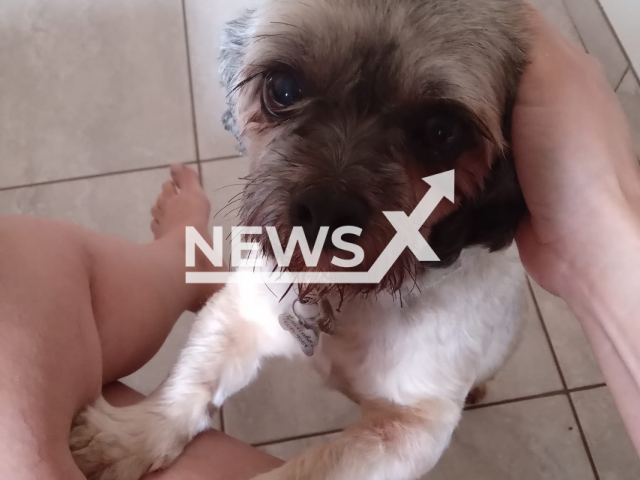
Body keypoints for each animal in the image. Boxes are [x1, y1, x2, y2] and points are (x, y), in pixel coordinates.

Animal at [69, 0, 528, 480]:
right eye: (283, 88)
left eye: (442, 132)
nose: (326, 211)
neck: (348, 293)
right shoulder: (240, 314)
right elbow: (192, 379)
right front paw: (128, 436)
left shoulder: (413, 424)